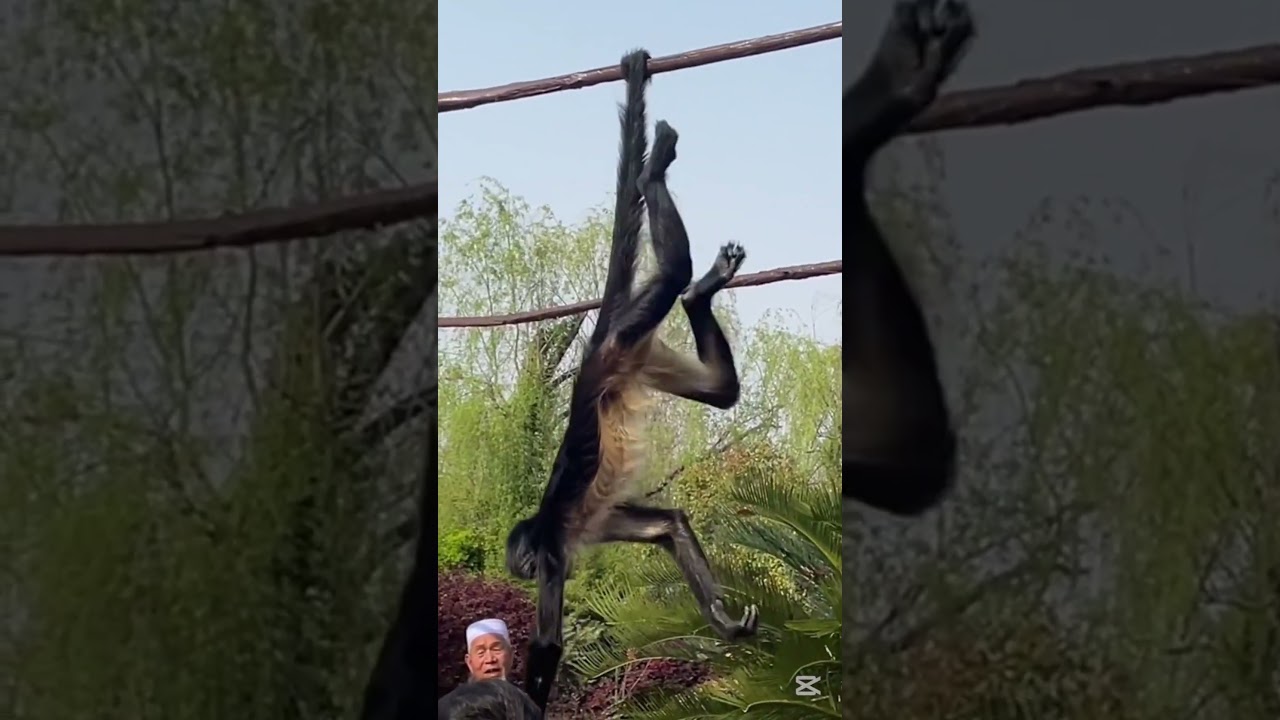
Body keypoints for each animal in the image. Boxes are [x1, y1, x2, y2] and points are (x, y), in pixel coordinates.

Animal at [504, 49, 759, 711]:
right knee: (720, 389)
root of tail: (598, 351)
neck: (543, 527)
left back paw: (652, 177)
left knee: (671, 271)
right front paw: (723, 623)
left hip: (622, 342)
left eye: (523, 563)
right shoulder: (601, 521)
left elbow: (548, 644)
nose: (516, 570)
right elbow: (670, 525)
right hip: (642, 354)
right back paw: (700, 294)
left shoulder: (553, 550)